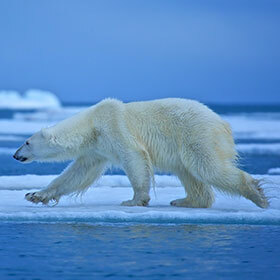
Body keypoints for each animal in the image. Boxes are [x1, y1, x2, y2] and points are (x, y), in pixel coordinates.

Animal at [13, 98, 270, 208]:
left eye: (26, 142)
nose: (15, 155)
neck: (92, 124)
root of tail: (223, 123)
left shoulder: (114, 127)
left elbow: (134, 157)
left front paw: (134, 200)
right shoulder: (97, 148)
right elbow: (77, 173)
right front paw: (36, 195)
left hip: (196, 135)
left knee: (207, 167)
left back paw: (257, 195)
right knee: (189, 173)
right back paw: (184, 201)